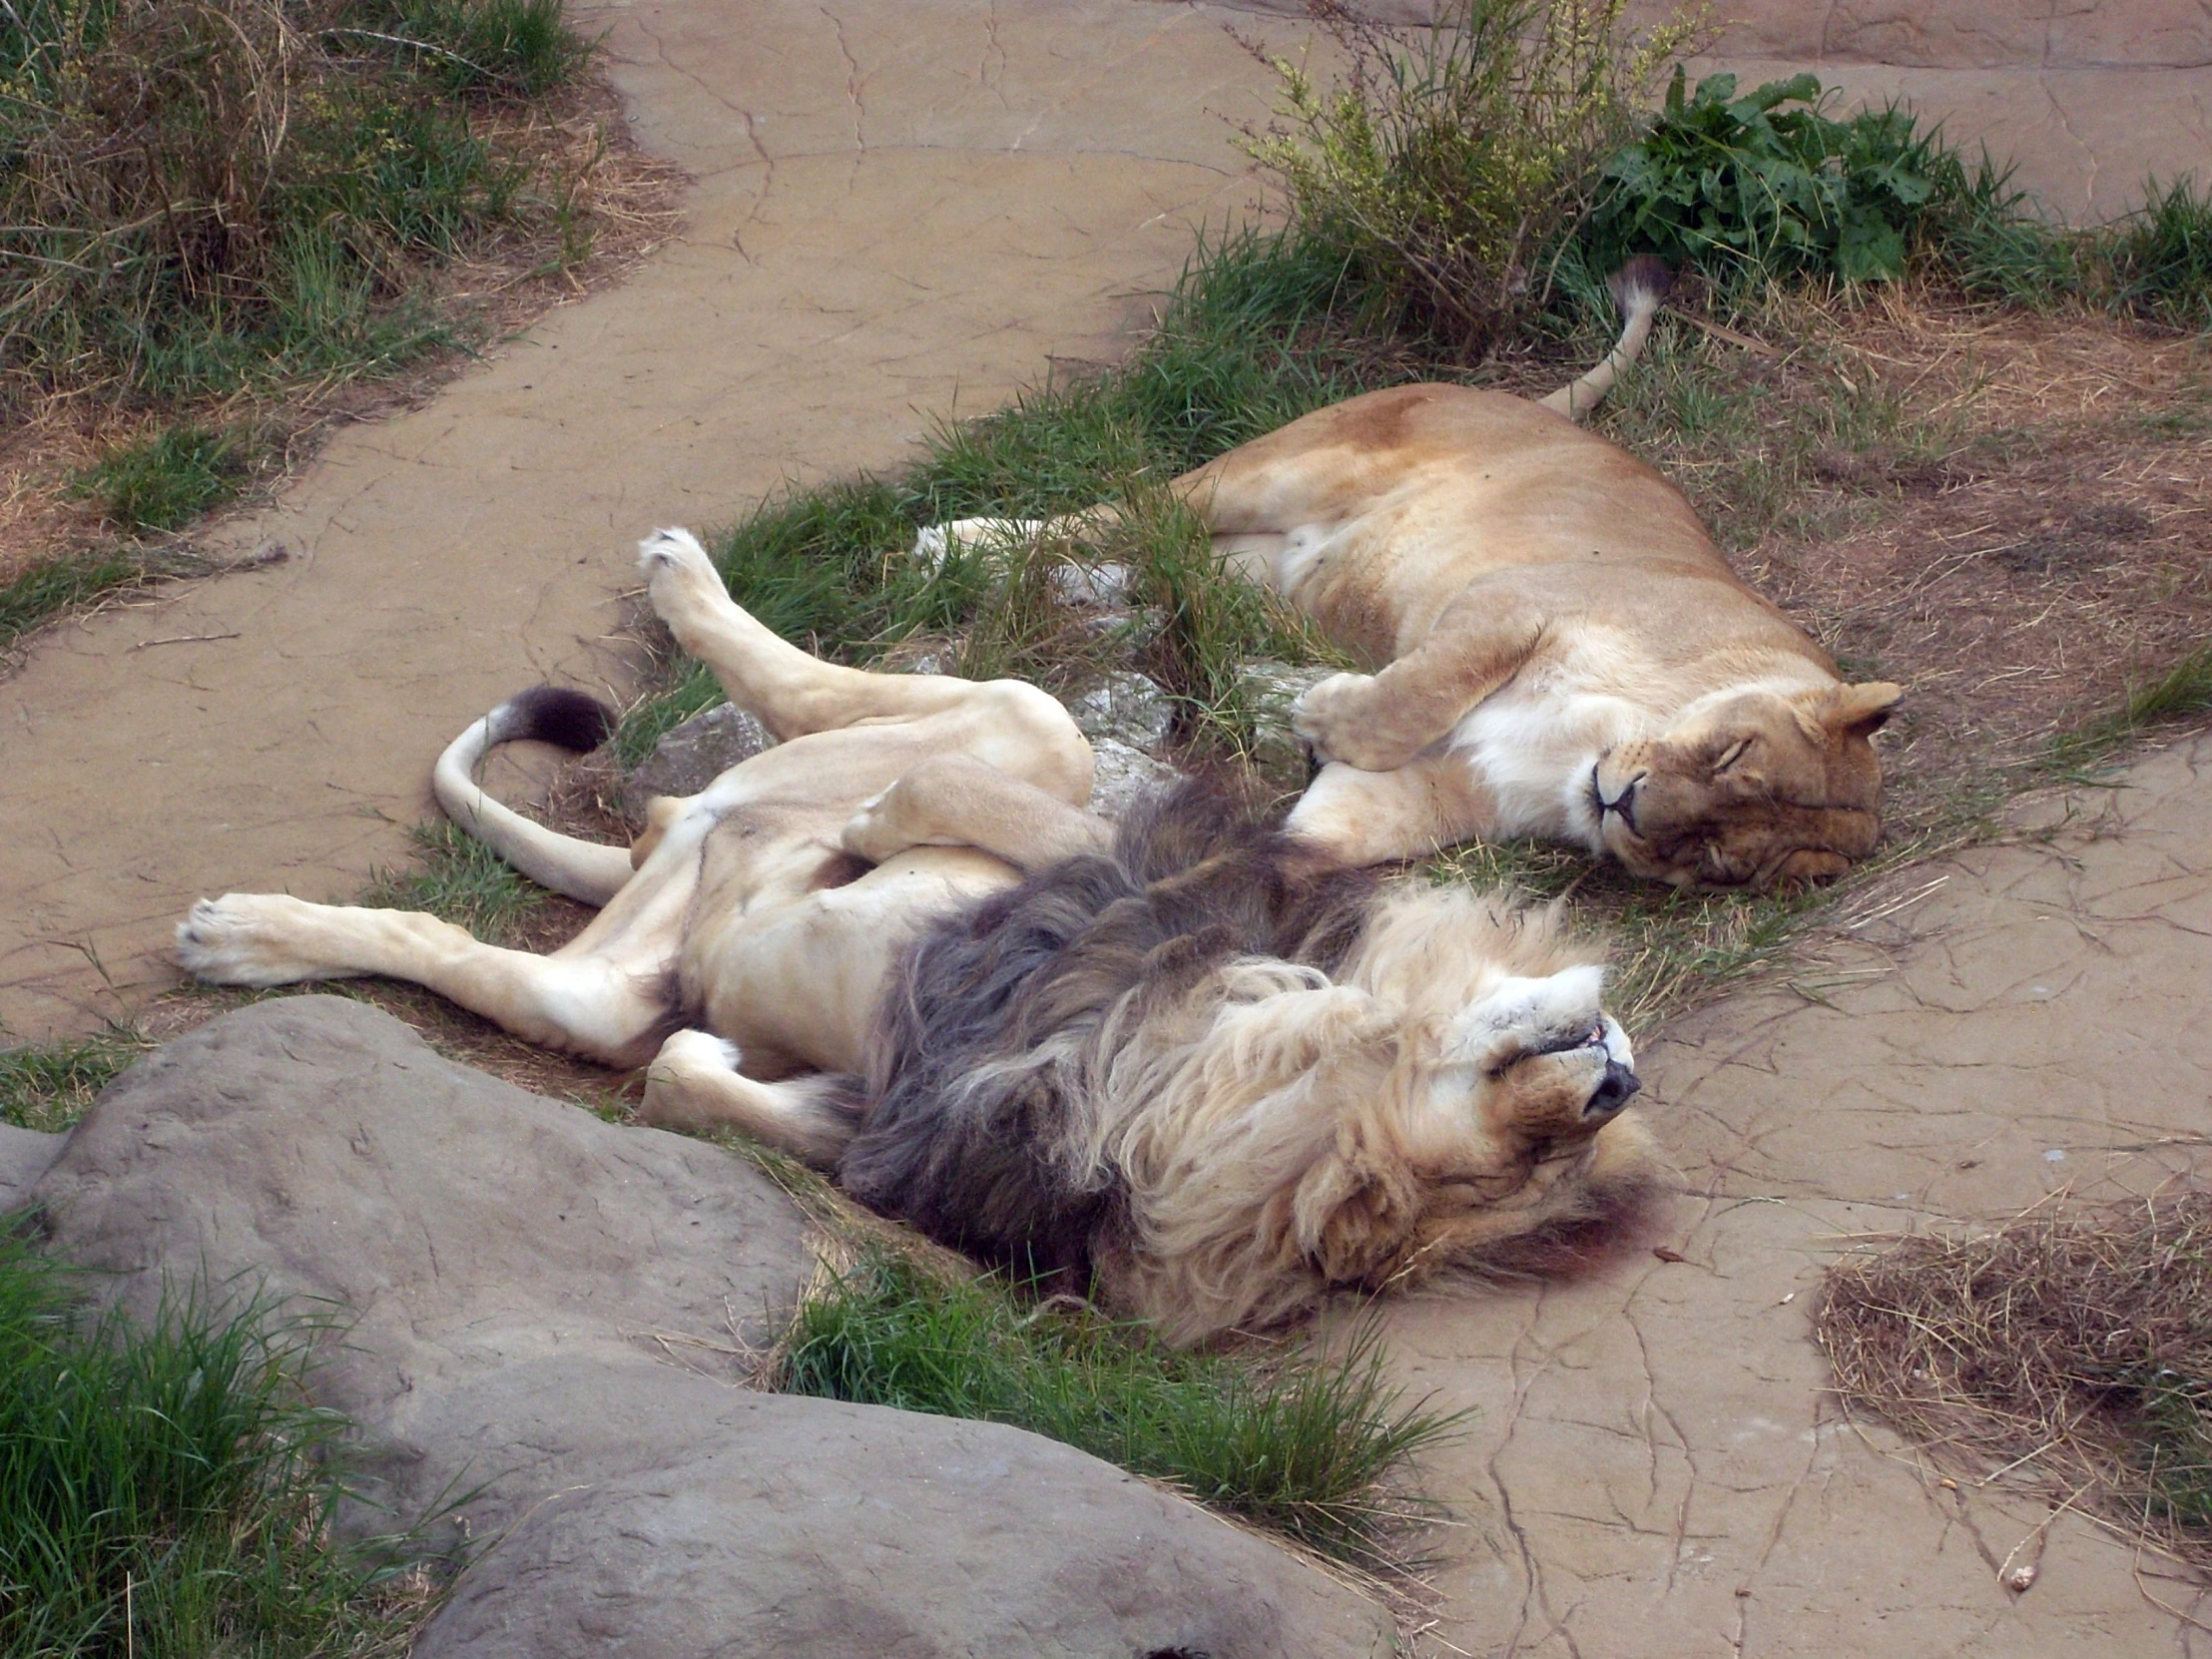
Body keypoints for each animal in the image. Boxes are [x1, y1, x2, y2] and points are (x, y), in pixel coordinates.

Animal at [177, 533, 1663, 1354]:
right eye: (1528, 1147)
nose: (1615, 1078)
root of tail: (668, 844)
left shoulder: (927, 1116)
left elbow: (701, 1086)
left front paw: (749, 1075)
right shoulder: (1119, 887)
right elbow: (1015, 823)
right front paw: (879, 831)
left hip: (596, 985)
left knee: (503, 964)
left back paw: (245, 936)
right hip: (1015, 723)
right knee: (930, 715)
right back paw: (687, 587)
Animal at [915, 260, 1902, 888]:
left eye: (1716, 857)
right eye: (1732, 753)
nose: (1623, 805)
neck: (1586, 749)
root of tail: (1521, 400)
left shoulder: (1388, 805)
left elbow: (1264, 849)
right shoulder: (1513, 602)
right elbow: (1421, 691)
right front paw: (1322, 712)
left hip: (1249, 574)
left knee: (1154, 560)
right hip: (1280, 468)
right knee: (1117, 510)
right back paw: (954, 544)